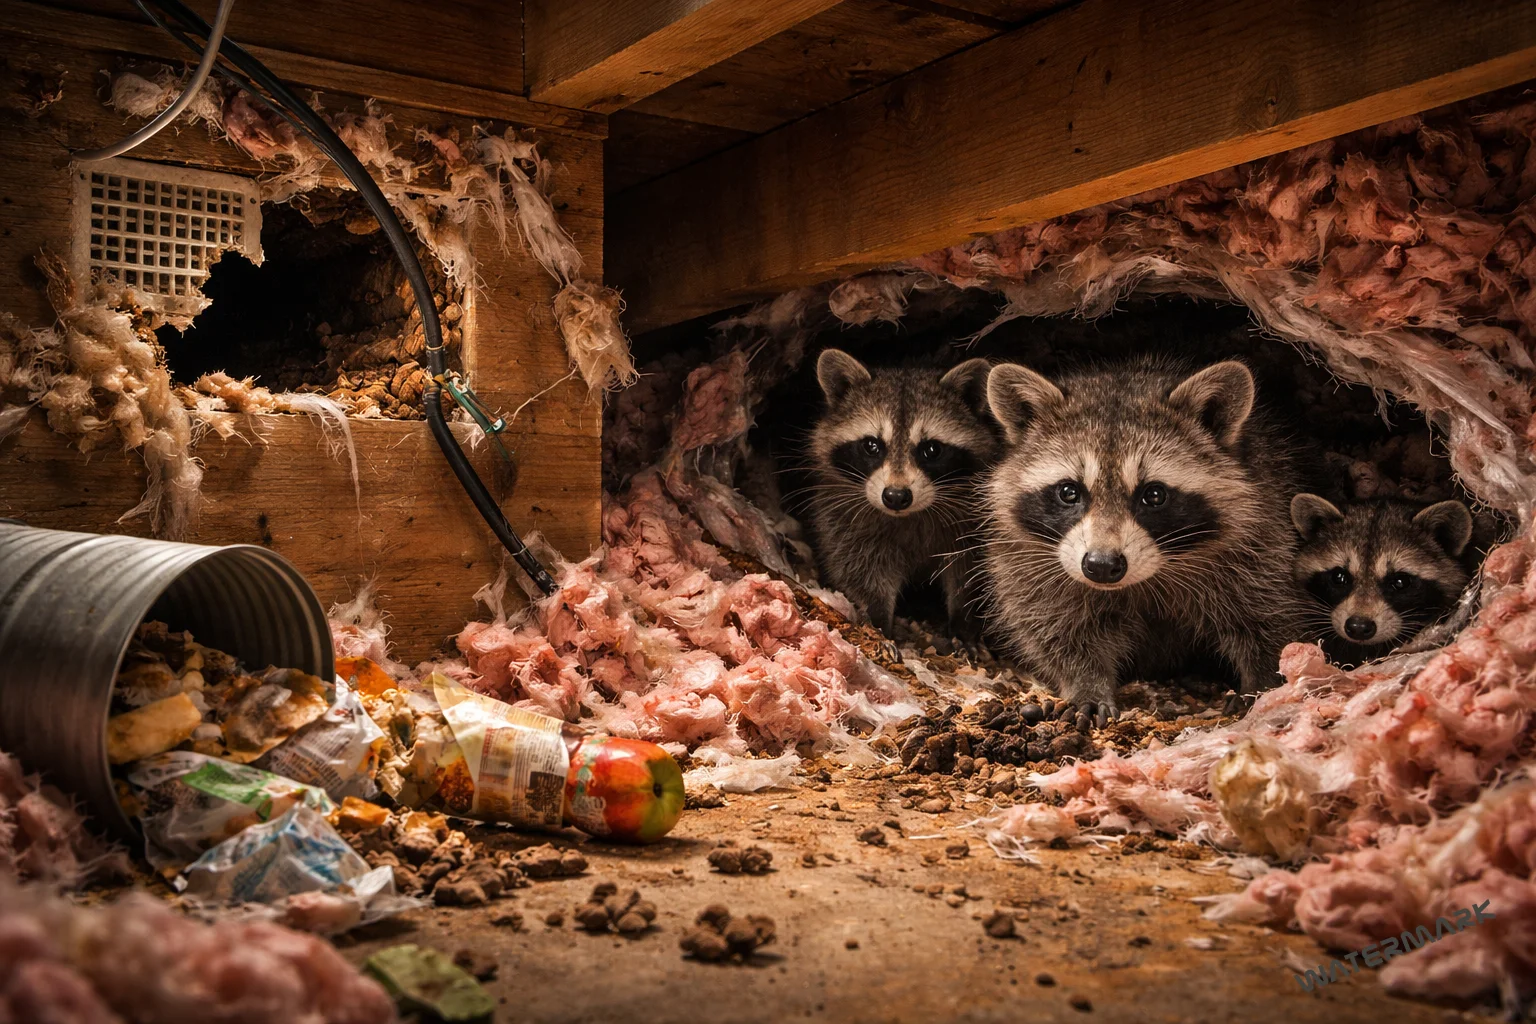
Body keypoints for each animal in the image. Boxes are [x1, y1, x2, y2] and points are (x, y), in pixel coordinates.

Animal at [806, 349, 999, 638]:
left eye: (932, 449)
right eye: (871, 445)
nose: (896, 496)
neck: (908, 516)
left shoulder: (974, 519)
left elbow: (971, 569)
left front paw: (965, 619)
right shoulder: (842, 512)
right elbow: (856, 564)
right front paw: (876, 614)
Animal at [980, 359, 1309, 719]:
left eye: (1154, 495)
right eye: (1068, 492)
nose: (1101, 565)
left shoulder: (1261, 541)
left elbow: (1269, 617)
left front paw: (1263, 683)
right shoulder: (1026, 560)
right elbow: (1054, 626)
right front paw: (1086, 682)